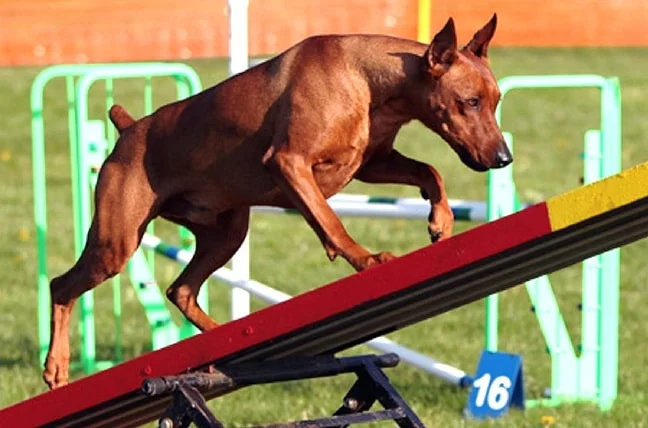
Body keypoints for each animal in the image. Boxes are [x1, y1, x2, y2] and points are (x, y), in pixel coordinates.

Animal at [44, 14, 512, 388]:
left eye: (495, 102)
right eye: (470, 102)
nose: (504, 159)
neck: (365, 78)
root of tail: (129, 128)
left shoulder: (373, 162)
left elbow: (430, 172)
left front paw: (441, 219)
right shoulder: (291, 162)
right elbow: (331, 222)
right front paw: (366, 259)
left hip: (227, 232)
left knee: (181, 290)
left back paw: (219, 343)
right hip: (116, 243)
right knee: (61, 286)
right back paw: (56, 367)